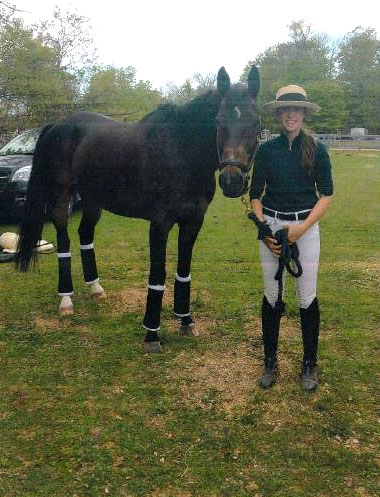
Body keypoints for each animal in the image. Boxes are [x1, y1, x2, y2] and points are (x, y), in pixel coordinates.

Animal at [15, 67, 262, 352]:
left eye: (256, 123)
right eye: (219, 121)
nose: (232, 181)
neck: (180, 152)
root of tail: (57, 125)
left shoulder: (193, 221)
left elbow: (183, 271)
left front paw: (186, 321)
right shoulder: (160, 224)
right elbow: (158, 275)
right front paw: (152, 335)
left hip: (93, 201)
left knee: (85, 236)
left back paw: (96, 289)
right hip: (60, 198)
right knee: (64, 241)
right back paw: (66, 300)